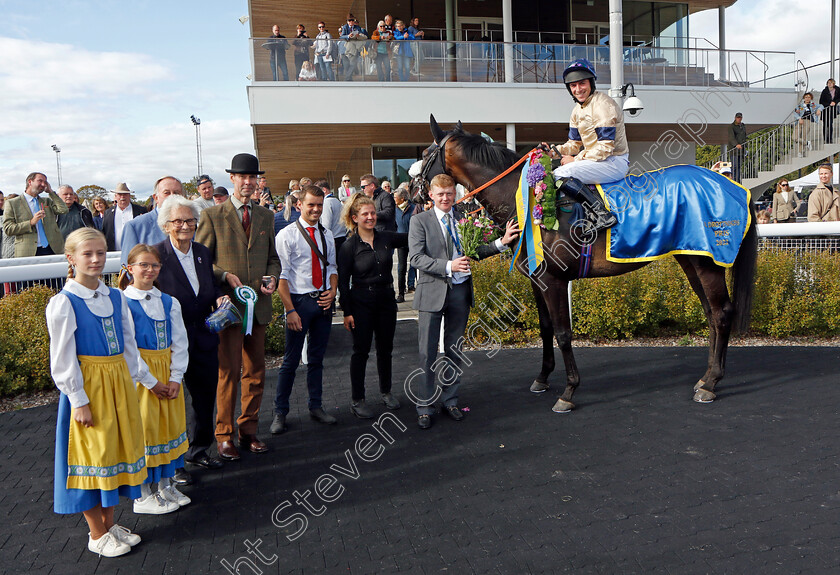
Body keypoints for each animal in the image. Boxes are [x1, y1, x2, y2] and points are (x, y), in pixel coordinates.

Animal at [410, 117, 756, 412]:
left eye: (425, 153)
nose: (412, 192)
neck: (526, 200)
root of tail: (735, 187)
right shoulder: (537, 279)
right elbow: (546, 328)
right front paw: (542, 378)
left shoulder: (555, 279)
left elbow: (563, 333)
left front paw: (568, 391)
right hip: (691, 257)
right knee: (711, 313)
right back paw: (706, 378)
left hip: (707, 261)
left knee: (721, 312)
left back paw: (711, 383)